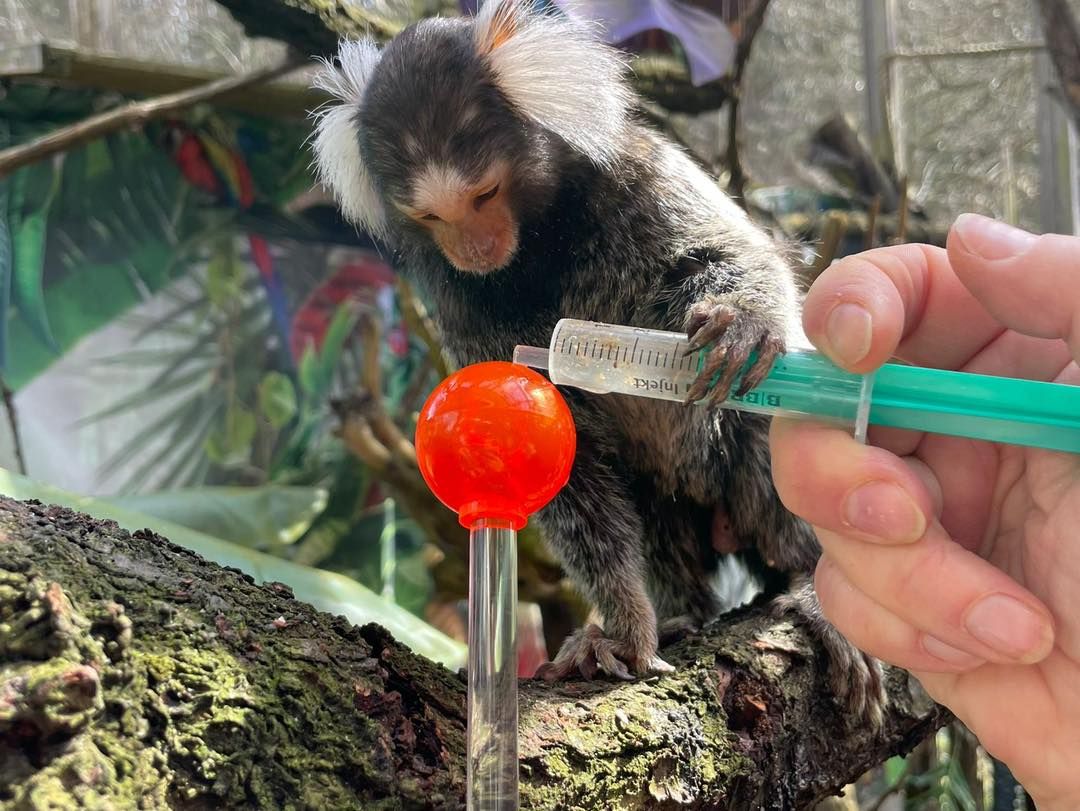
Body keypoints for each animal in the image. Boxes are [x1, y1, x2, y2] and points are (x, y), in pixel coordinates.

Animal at [313, 0, 885, 721]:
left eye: (484, 194)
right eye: (430, 215)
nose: (473, 248)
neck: (540, 246)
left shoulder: (641, 173)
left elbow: (729, 253)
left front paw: (745, 325)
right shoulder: (459, 307)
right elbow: (570, 461)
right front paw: (625, 627)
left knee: (764, 431)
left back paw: (813, 580)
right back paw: (680, 614)